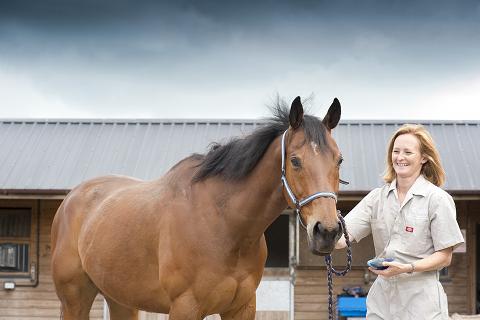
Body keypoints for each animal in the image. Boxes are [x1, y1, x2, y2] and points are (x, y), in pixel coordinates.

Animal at [50, 96, 344, 318]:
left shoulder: (242, 307)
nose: (327, 231)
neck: (223, 223)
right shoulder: (185, 307)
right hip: (75, 299)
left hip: (121, 300)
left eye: (339, 160)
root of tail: (71, 198)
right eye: (295, 161)